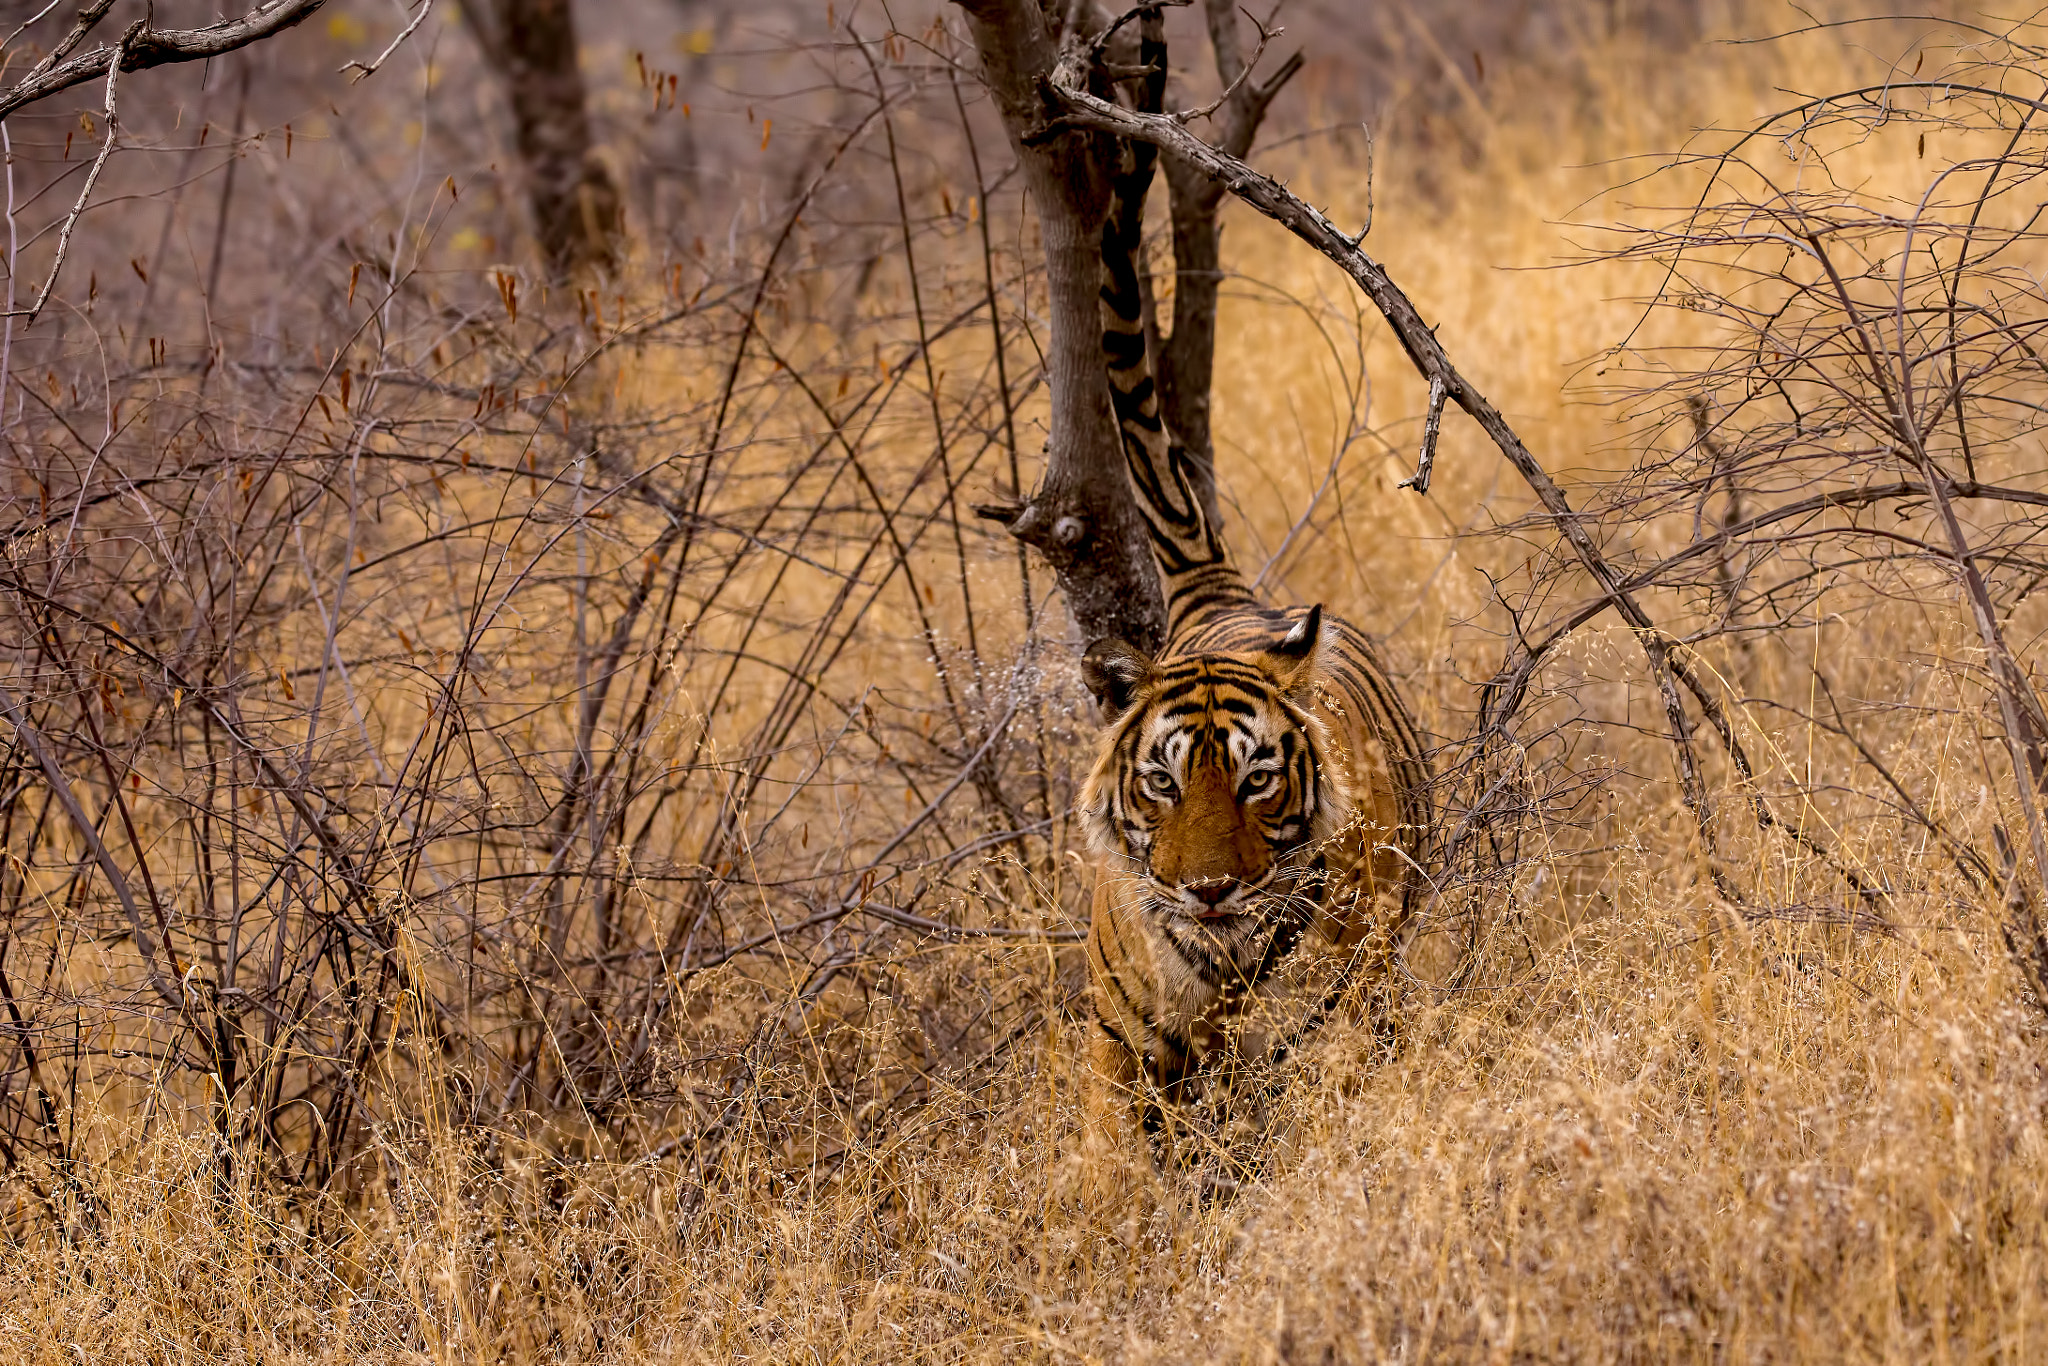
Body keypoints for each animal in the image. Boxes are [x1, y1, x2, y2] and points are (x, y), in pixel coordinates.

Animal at [1081, 7, 1433, 1179]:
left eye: (1256, 781)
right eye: (1160, 783)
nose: (1207, 891)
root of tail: (1215, 587)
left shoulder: (1338, 1009)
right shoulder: (1120, 1041)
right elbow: (1107, 1184)